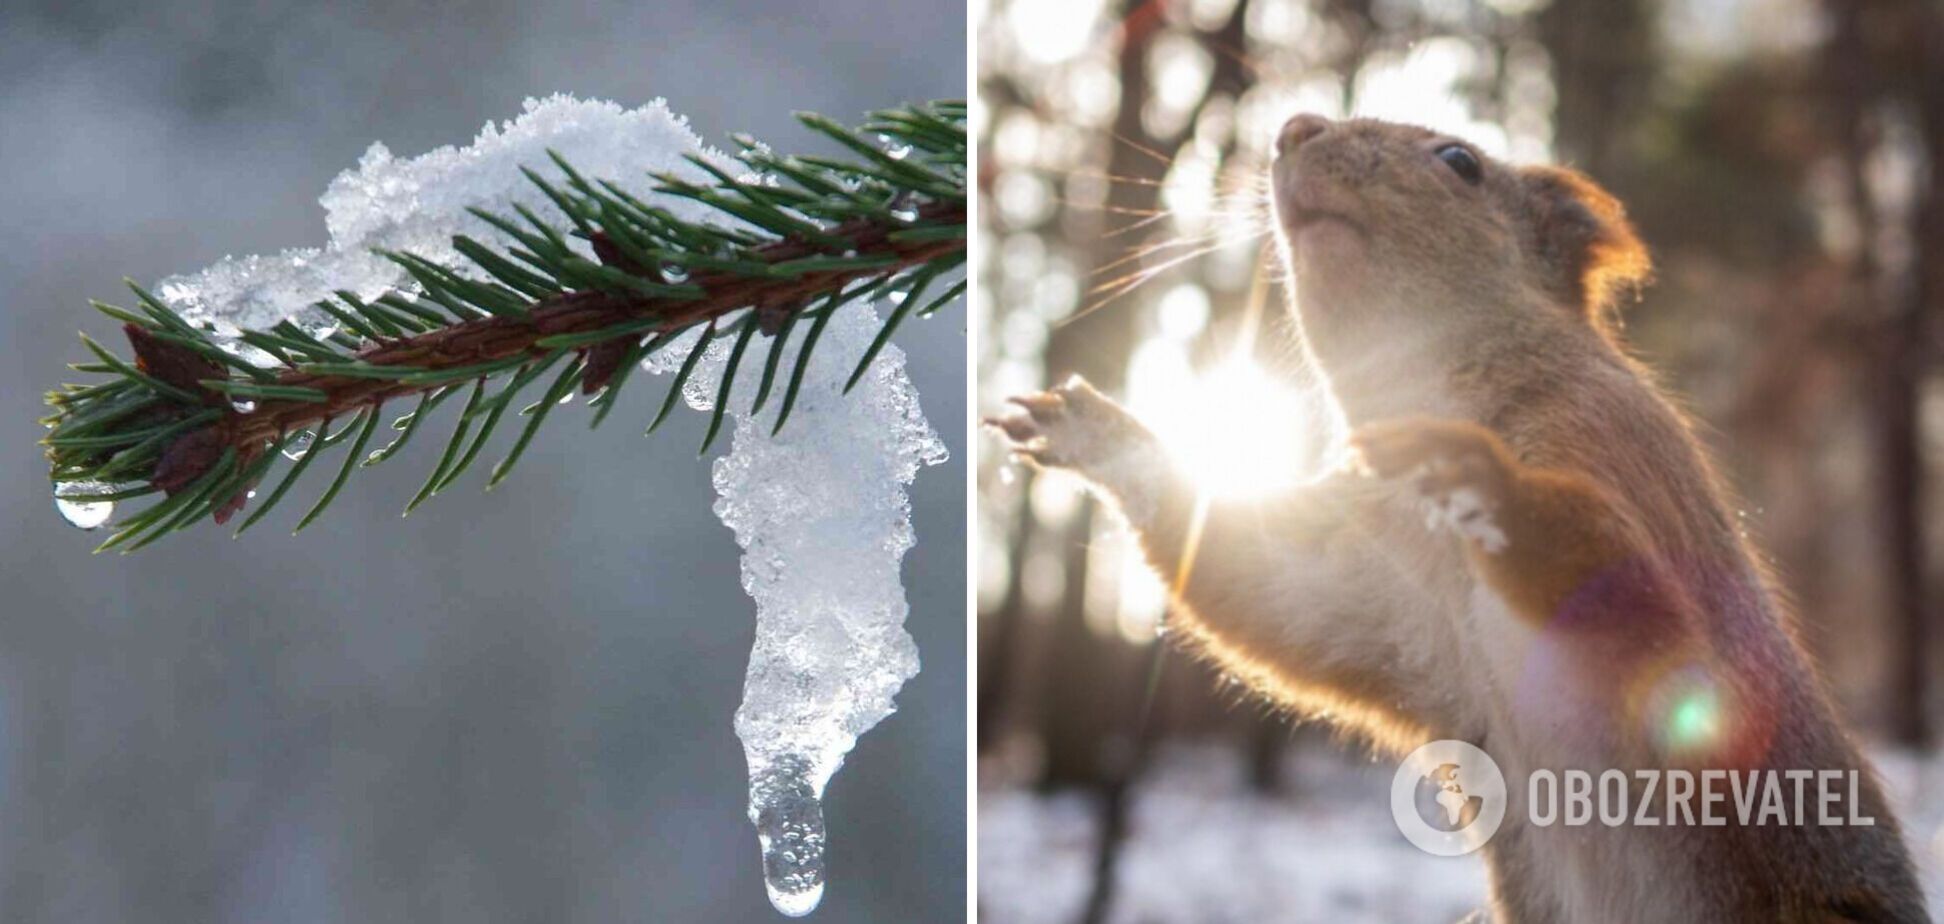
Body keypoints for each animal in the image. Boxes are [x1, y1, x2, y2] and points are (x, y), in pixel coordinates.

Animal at [987, 117, 1928, 924]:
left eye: (1459, 161)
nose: (1293, 127)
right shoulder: (1394, 608)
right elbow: (1271, 594)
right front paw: (1100, 434)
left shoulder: (1620, 454)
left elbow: (1650, 620)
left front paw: (1476, 471)